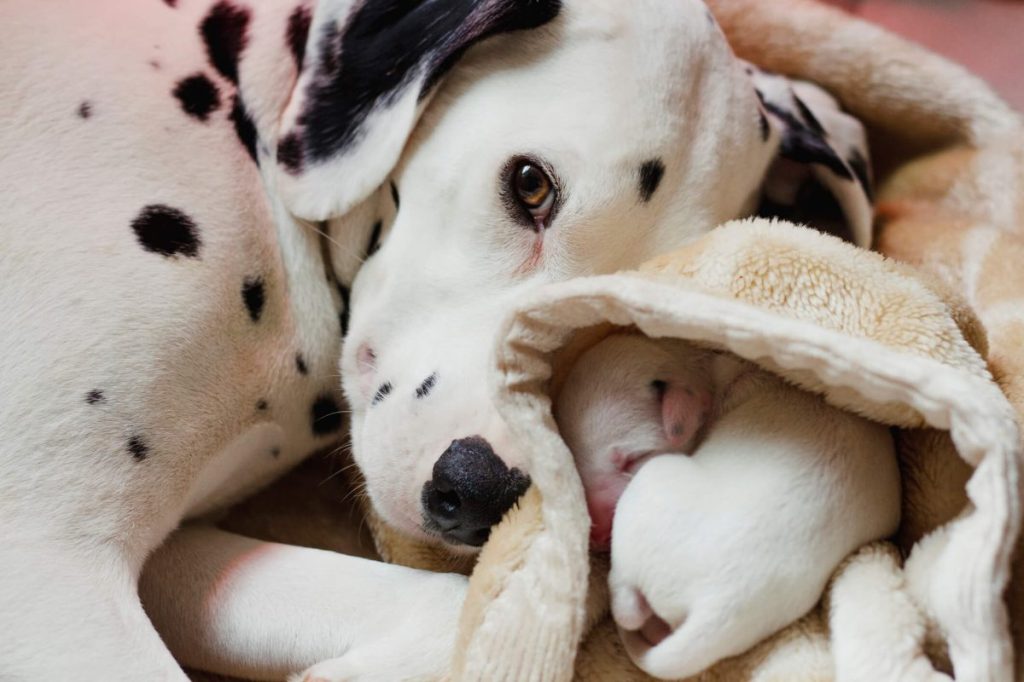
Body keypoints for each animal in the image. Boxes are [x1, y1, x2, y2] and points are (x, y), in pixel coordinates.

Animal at [557, 331, 901, 675]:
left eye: (632, 458)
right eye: (575, 464)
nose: (596, 535)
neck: (702, 367)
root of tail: (715, 606)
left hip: (654, 478)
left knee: (626, 603)